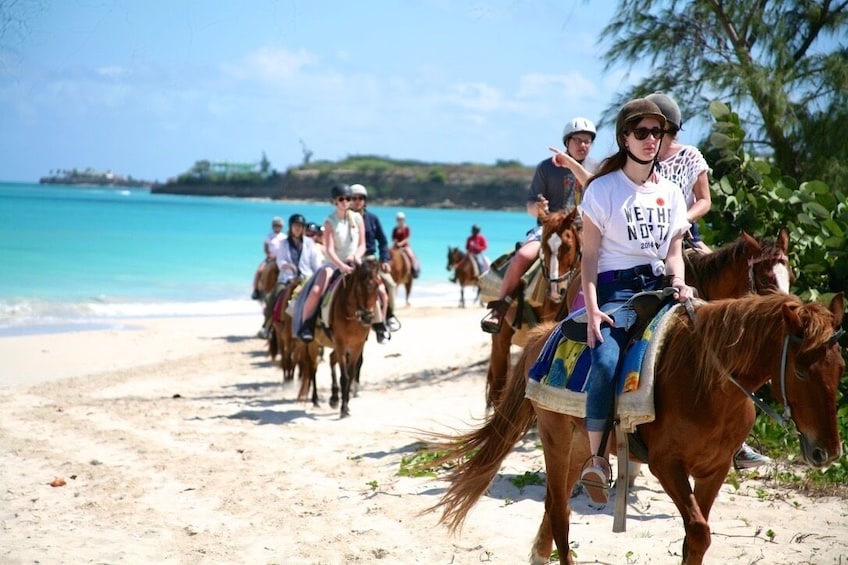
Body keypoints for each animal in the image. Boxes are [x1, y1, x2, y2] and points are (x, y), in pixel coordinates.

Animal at [428, 290, 844, 564]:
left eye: (840, 368)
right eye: (801, 370)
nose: (827, 451)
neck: (707, 382)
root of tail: (542, 336)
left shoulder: (715, 469)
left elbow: (696, 539)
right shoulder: (666, 466)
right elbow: (698, 531)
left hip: (582, 445)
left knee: (555, 504)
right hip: (555, 438)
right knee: (560, 511)